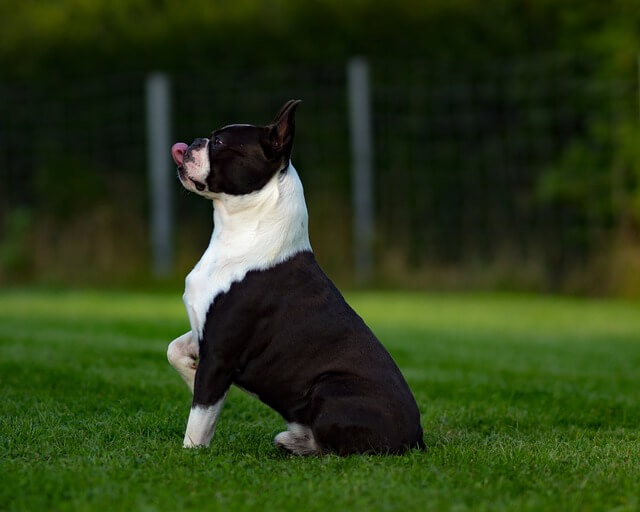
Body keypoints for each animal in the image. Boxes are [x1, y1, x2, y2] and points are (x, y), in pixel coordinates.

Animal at [168, 102, 422, 454]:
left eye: (219, 142)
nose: (192, 143)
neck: (241, 231)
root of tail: (417, 439)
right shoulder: (203, 333)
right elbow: (174, 350)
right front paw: (190, 376)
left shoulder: (219, 353)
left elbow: (199, 418)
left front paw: (190, 454)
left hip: (328, 388)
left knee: (340, 450)